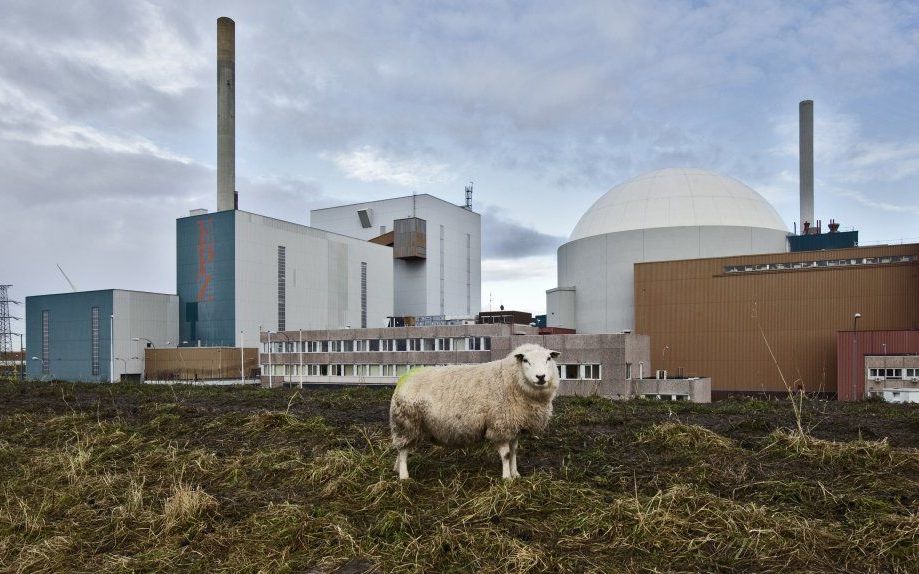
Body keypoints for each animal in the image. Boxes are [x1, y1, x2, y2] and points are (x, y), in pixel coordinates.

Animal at [388, 346, 560, 482]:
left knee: (401, 448)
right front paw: (506, 478)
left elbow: (514, 452)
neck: (510, 379)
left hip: (408, 425)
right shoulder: (500, 425)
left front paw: (515, 474)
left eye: (548, 358)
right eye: (525, 360)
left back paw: (396, 468)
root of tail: (402, 380)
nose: (541, 377)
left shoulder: (513, 426)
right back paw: (404, 476)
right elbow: (506, 454)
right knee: (403, 451)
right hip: (406, 422)